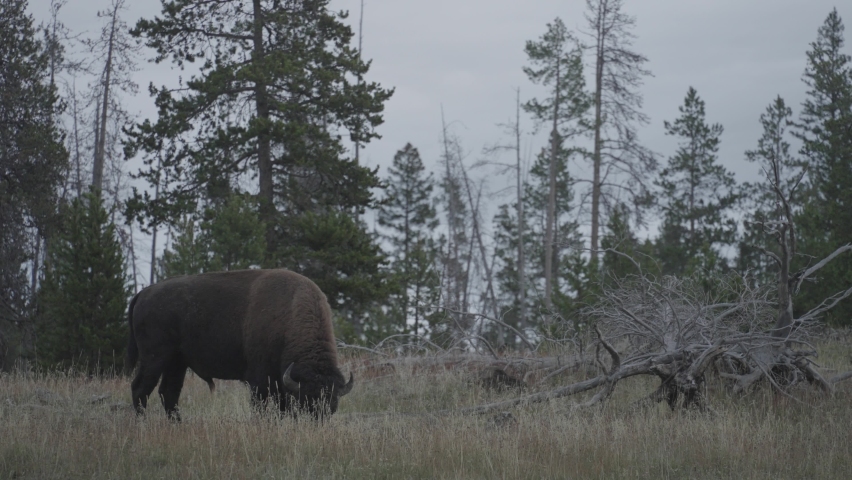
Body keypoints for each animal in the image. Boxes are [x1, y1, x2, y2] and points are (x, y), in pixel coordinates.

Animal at [126, 269, 353, 420]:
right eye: (306, 403)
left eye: (332, 407)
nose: (317, 424)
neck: (289, 314)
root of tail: (143, 293)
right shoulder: (260, 381)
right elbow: (261, 406)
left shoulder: (279, 383)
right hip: (155, 358)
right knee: (140, 388)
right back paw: (143, 423)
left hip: (177, 362)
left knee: (169, 392)